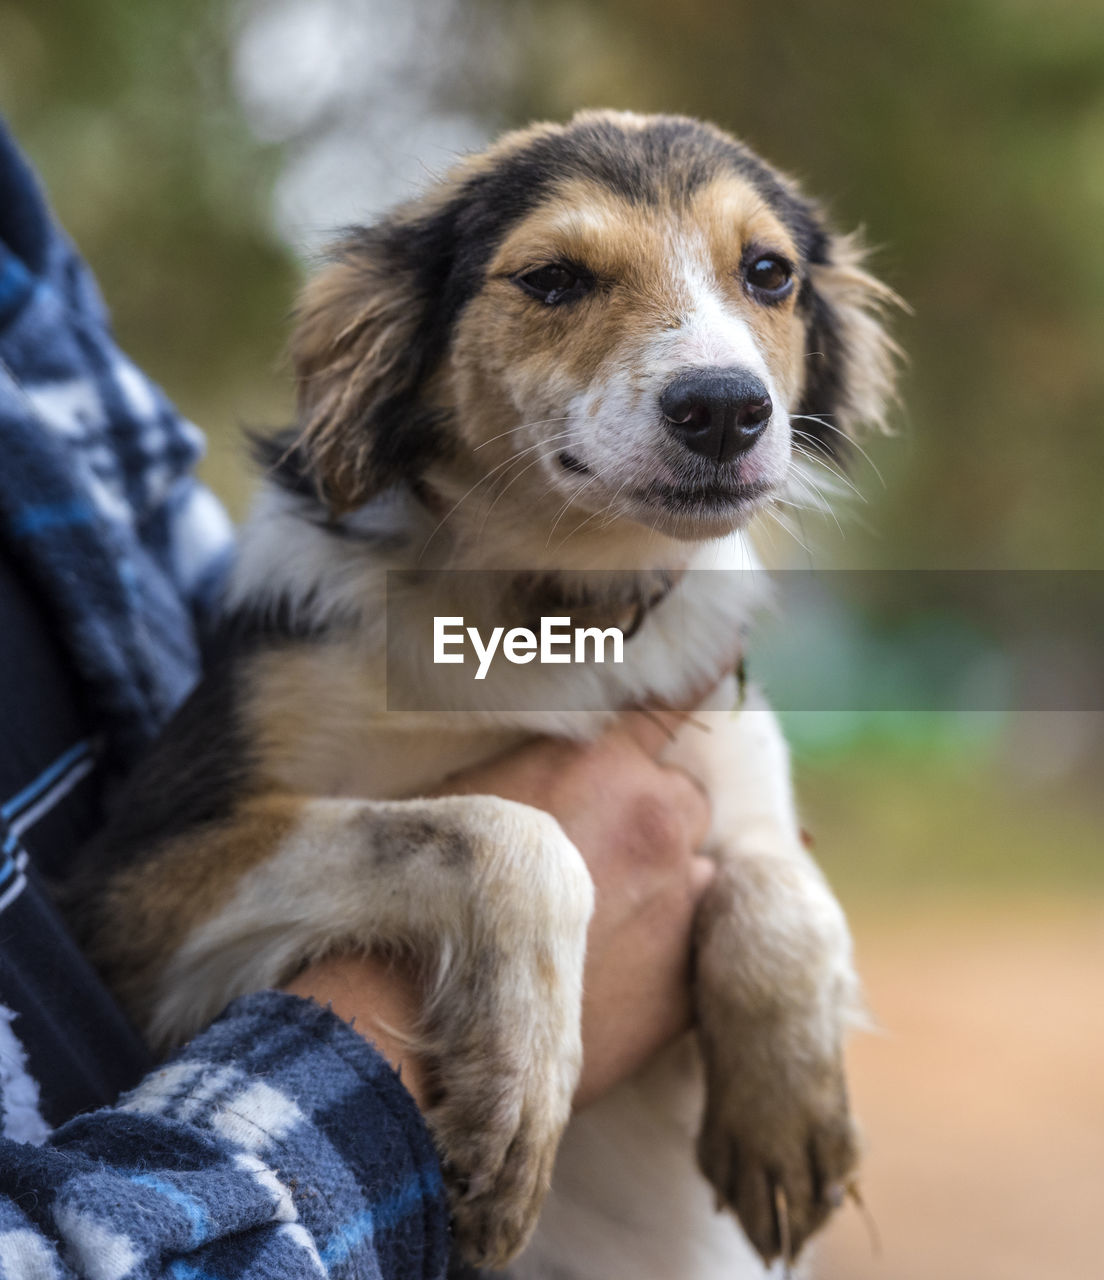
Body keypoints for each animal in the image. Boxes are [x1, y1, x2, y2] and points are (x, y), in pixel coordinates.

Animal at [69, 112, 901, 1280]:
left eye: (769, 273)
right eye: (552, 279)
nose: (726, 410)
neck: (550, 604)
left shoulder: (733, 765)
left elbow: (786, 886)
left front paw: (788, 1110)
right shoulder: (127, 892)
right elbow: (512, 829)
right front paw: (516, 1098)